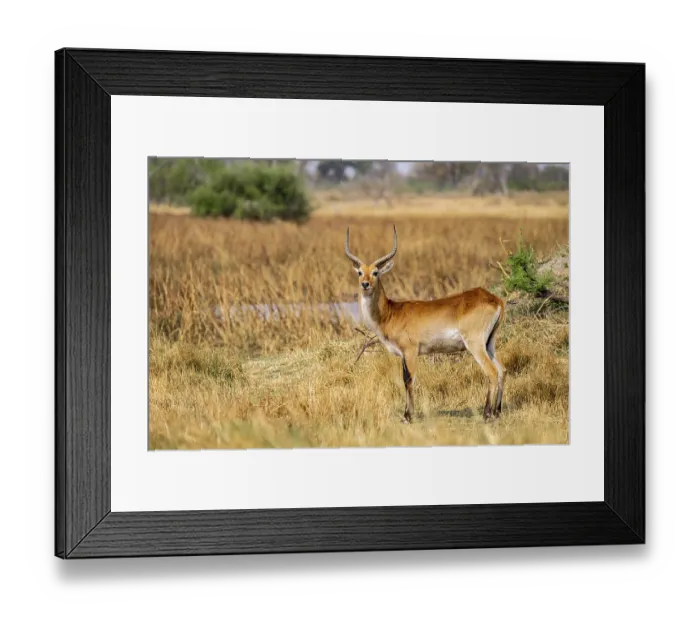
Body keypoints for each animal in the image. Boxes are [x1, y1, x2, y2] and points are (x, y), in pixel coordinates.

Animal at [345, 225, 506, 423]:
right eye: (360, 272)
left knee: (492, 372)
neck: (391, 313)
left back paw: (486, 414)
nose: (365, 284)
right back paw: (497, 411)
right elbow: (404, 379)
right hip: (489, 344)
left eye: (376, 272)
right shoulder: (403, 355)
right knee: (502, 370)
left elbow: (409, 380)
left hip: (475, 345)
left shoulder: (411, 351)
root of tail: (495, 300)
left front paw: (408, 416)